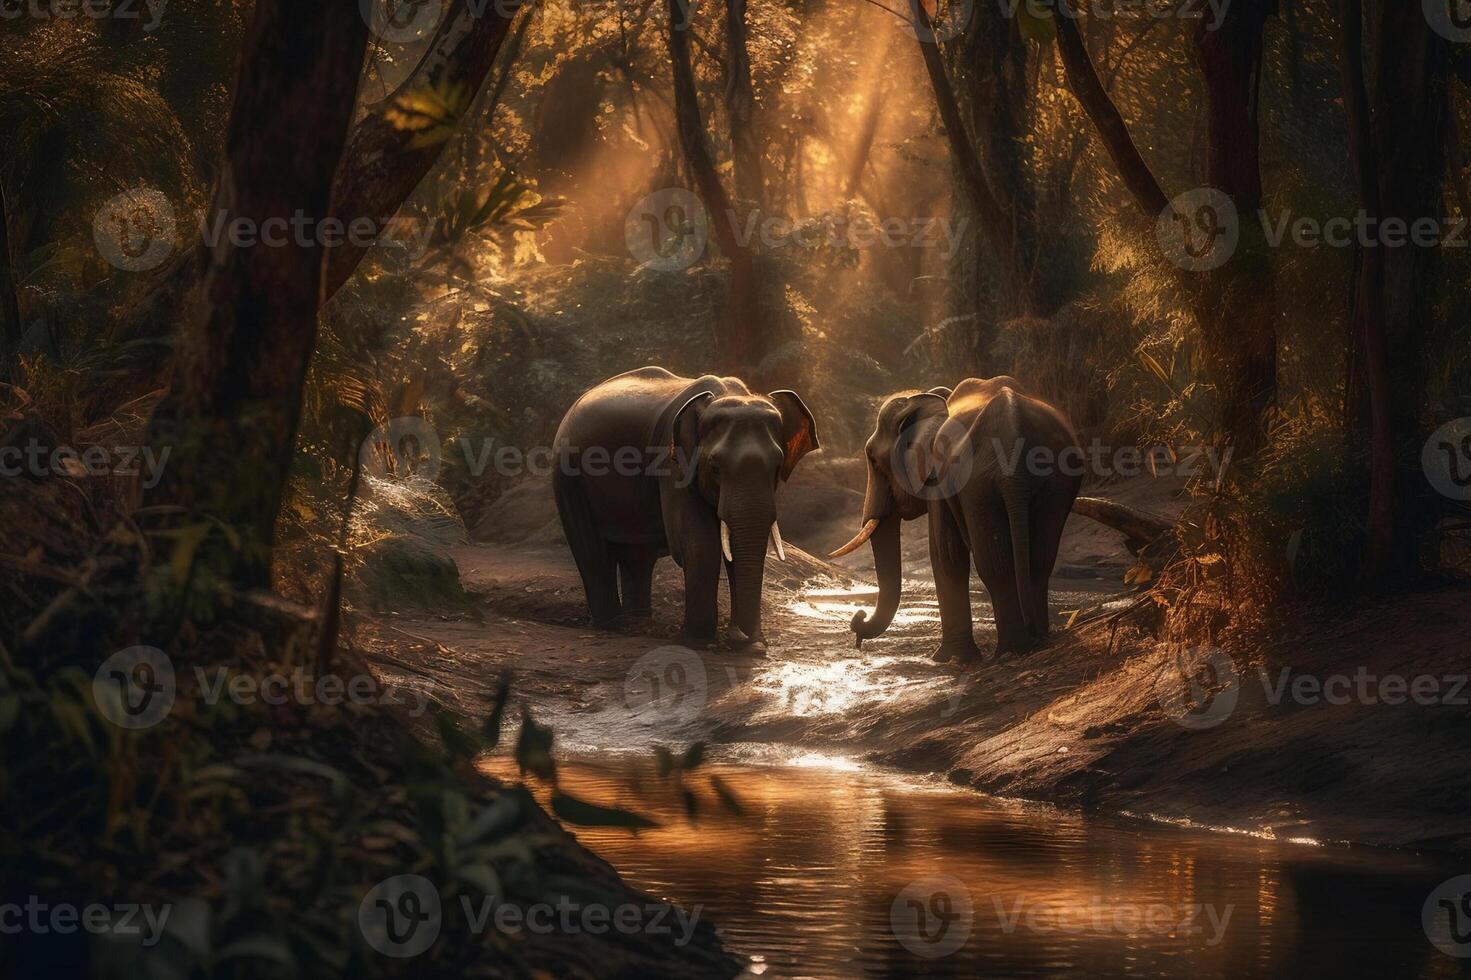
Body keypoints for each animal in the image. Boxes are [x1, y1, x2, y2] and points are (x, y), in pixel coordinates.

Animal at [550, 364, 817, 647]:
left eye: (777, 468)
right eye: (715, 468)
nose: (741, 636)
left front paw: (749, 645)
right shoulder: (673, 461)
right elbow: (698, 542)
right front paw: (696, 641)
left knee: (637, 555)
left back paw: (638, 624)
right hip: (568, 476)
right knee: (593, 552)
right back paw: (611, 626)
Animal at [829, 376, 1082, 659]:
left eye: (872, 458)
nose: (858, 622)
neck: (932, 397)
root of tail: (1014, 428)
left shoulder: (939, 476)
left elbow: (945, 552)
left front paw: (948, 659)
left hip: (978, 483)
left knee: (994, 563)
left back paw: (1010, 650)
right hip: (1055, 480)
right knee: (1039, 560)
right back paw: (1035, 642)